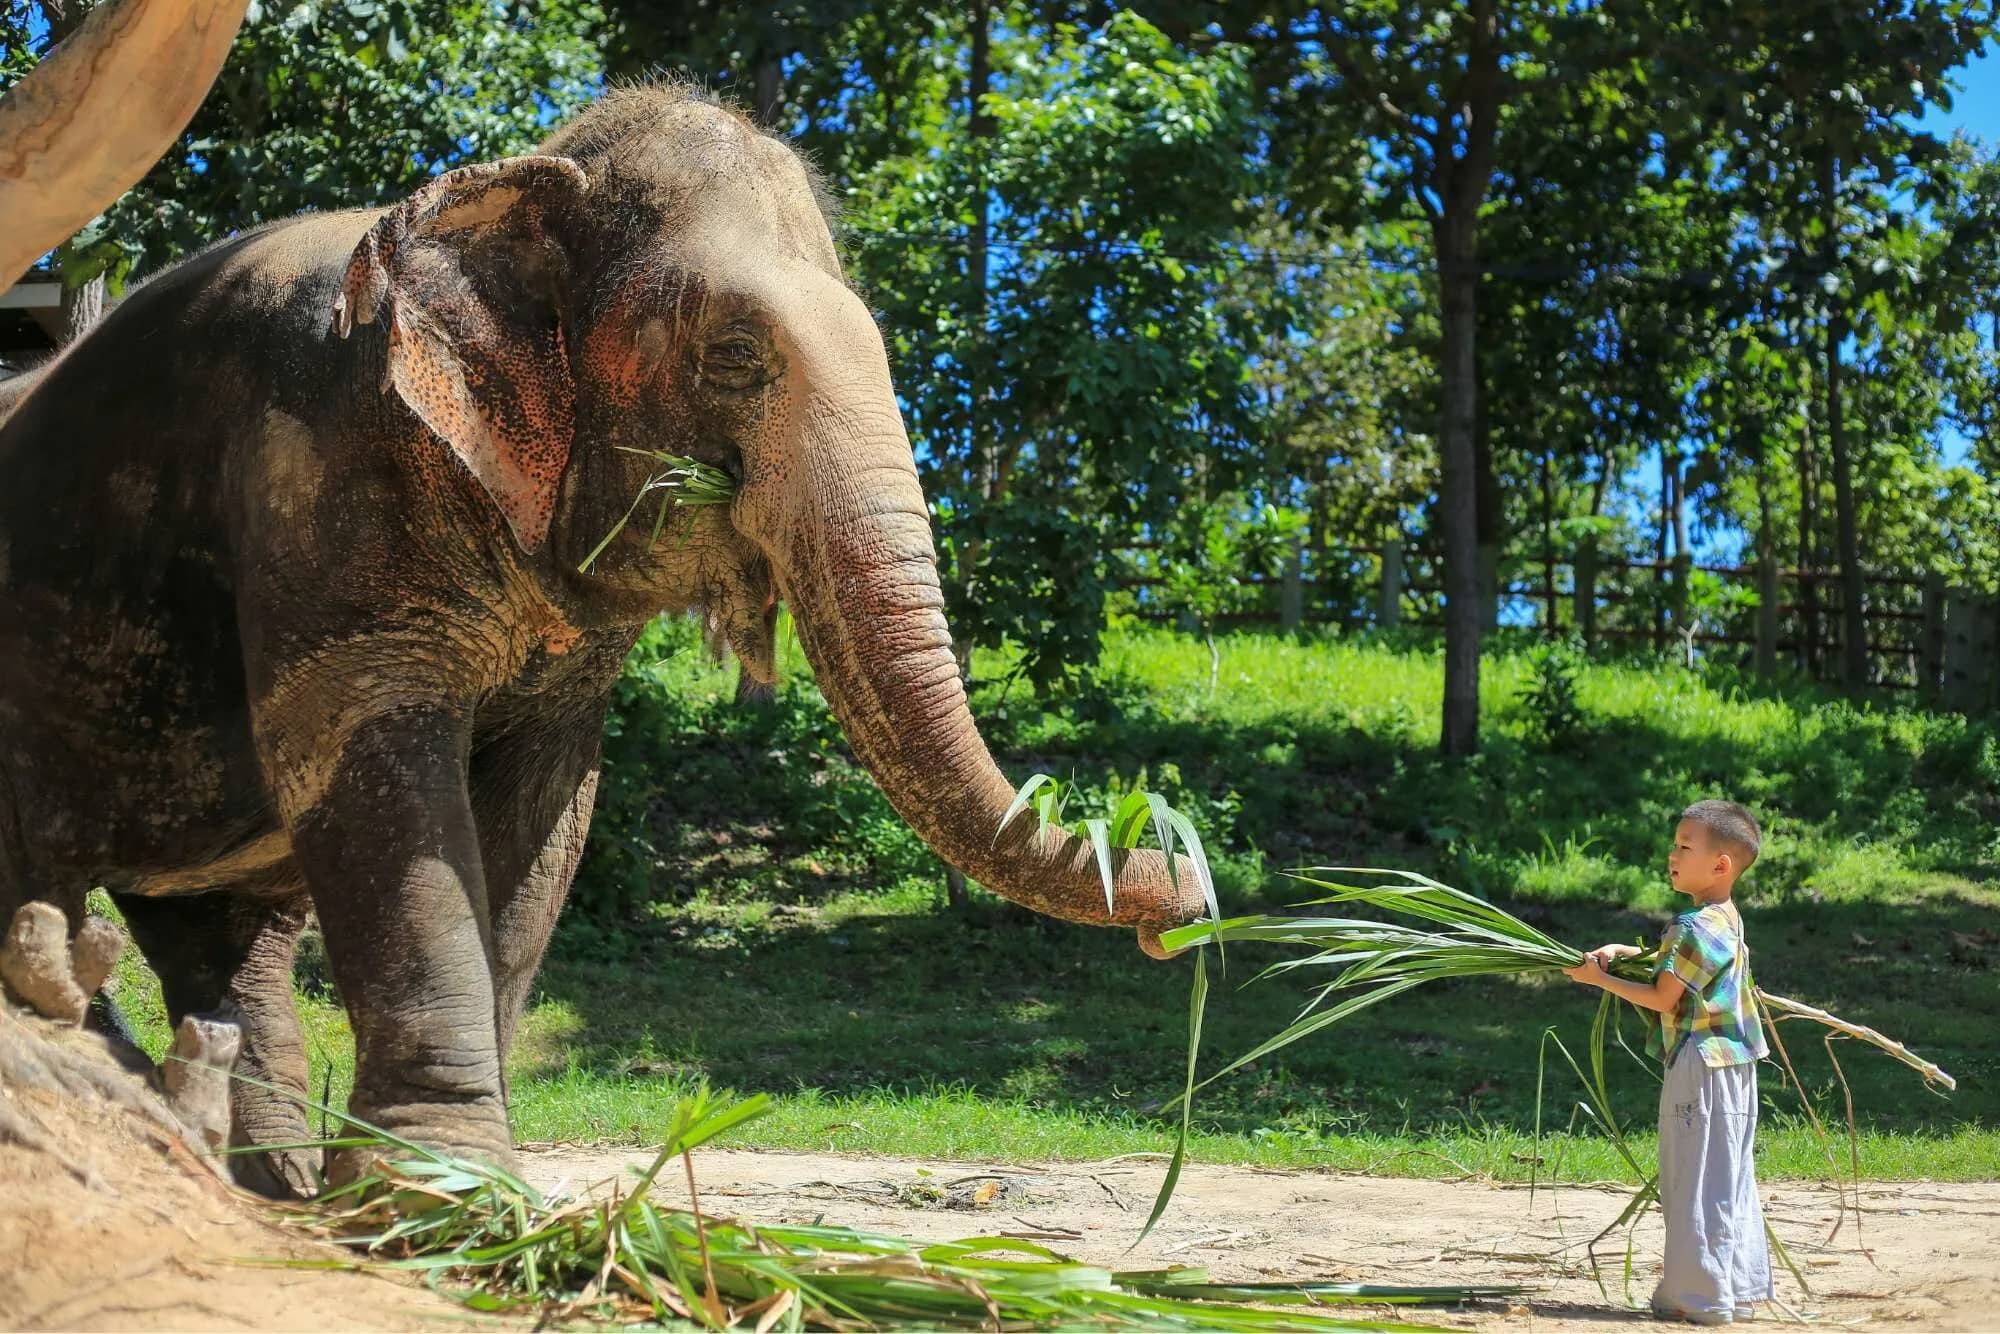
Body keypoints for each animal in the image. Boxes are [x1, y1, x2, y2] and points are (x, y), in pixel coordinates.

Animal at [0, 83, 1204, 1195]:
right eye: (734, 354)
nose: (1183, 904)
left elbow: (545, 820)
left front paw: (456, 1198)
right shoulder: (314, 481)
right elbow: (383, 789)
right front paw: (442, 1201)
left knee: (221, 940)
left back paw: (263, 1187)